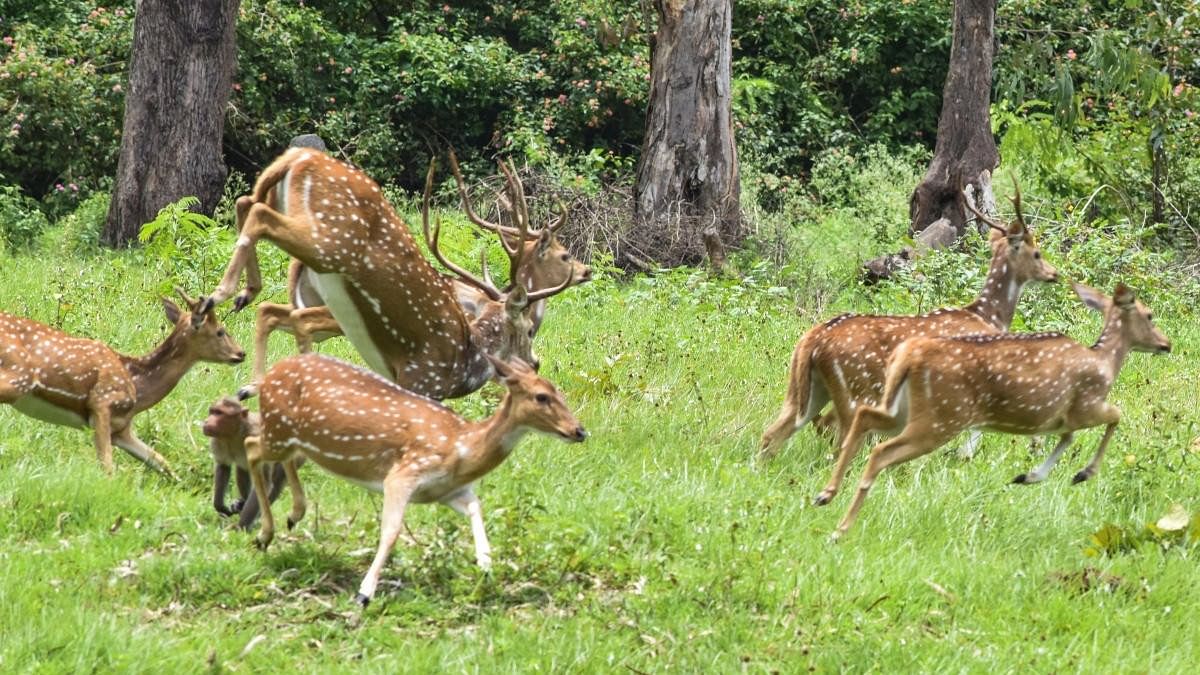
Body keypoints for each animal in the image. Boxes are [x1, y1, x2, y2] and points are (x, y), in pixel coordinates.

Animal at [0, 289, 243, 473]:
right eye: (221, 332)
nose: (241, 353)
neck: (138, 387)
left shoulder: (121, 429)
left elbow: (161, 462)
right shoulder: (102, 402)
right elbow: (108, 466)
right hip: (18, 376)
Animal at [195, 148, 571, 398]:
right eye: (529, 330)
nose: (535, 363)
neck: (465, 361)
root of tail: (299, 155)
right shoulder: (421, 379)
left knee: (247, 205)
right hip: (331, 243)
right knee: (258, 215)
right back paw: (221, 297)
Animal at [243, 353, 585, 605]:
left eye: (559, 391)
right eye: (541, 396)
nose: (579, 430)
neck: (461, 448)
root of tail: (268, 375)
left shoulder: (446, 491)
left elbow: (477, 508)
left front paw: (485, 565)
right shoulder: (404, 473)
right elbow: (392, 530)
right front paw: (364, 593)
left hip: (289, 436)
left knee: (280, 455)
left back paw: (292, 515)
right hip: (277, 428)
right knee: (251, 446)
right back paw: (264, 534)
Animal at [758, 181, 1060, 458]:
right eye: (1037, 251)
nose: (1054, 273)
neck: (987, 316)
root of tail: (812, 340)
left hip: (804, 389)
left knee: (775, 433)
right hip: (855, 392)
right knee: (836, 438)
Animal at [825, 281, 1171, 538]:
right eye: (1150, 315)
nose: (1166, 343)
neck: (1105, 364)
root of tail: (909, 355)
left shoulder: (1062, 419)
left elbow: (1067, 438)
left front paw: (1029, 476)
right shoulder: (1086, 405)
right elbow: (1116, 415)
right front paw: (1082, 473)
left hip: (903, 410)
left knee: (863, 418)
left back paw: (825, 495)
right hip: (941, 417)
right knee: (879, 451)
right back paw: (839, 528)